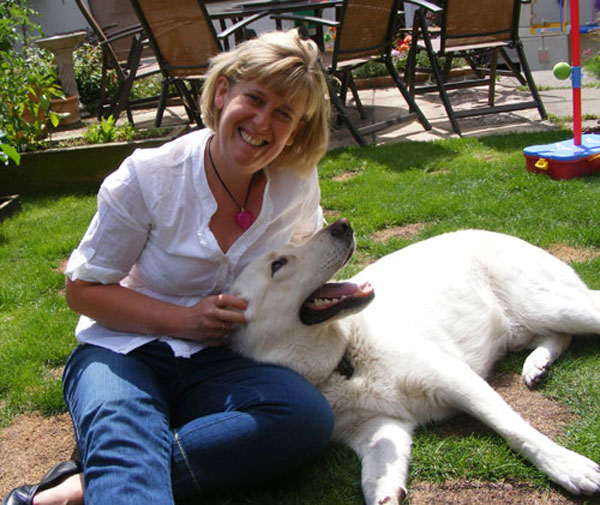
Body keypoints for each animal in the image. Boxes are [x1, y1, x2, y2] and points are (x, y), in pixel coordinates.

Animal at [229, 219, 600, 502]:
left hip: (549, 306)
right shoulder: (379, 428)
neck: (342, 364)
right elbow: (373, 480)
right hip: (524, 326)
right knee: (557, 336)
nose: (342, 225)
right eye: (278, 265)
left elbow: (514, 428)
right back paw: (537, 365)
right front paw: (386, 494)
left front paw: (567, 466)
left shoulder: (456, 378)